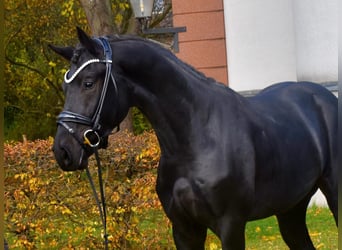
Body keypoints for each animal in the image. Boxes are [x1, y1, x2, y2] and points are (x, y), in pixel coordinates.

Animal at [50, 28, 336, 249]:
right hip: (291, 210)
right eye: (64, 86)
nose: (63, 150)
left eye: (88, 82)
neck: (195, 138)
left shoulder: (231, 226)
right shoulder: (184, 229)